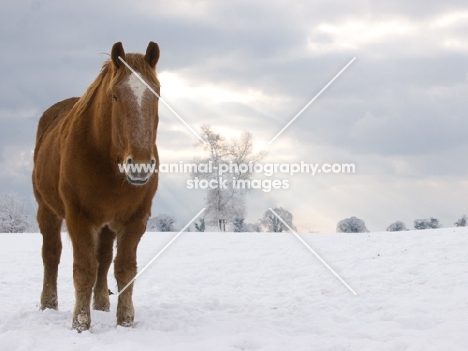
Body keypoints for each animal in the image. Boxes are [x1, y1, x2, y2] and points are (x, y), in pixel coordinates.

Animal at [33, 42, 161, 332]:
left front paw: (125, 321)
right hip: (47, 210)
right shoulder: (78, 216)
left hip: (106, 224)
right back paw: (48, 304)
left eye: (157, 95)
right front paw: (80, 324)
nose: (139, 165)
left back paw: (101, 302)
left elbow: (124, 268)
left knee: (103, 258)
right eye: (115, 97)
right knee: (51, 254)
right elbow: (84, 269)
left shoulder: (136, 218)